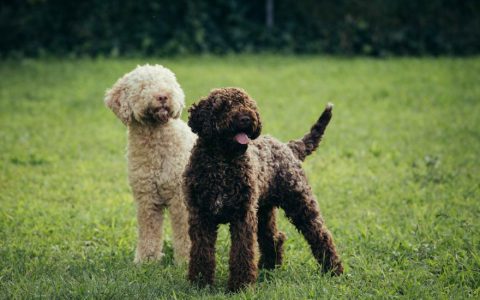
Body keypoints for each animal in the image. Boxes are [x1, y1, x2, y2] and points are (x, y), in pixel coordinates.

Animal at [104, 65, 195, 262]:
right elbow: (149, 230)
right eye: (143, 86)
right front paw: (147, 260)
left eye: (167, 82)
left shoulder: (181, 199)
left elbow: (185, 233)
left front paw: (186, 260)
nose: (162, 96)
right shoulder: (146, 197)